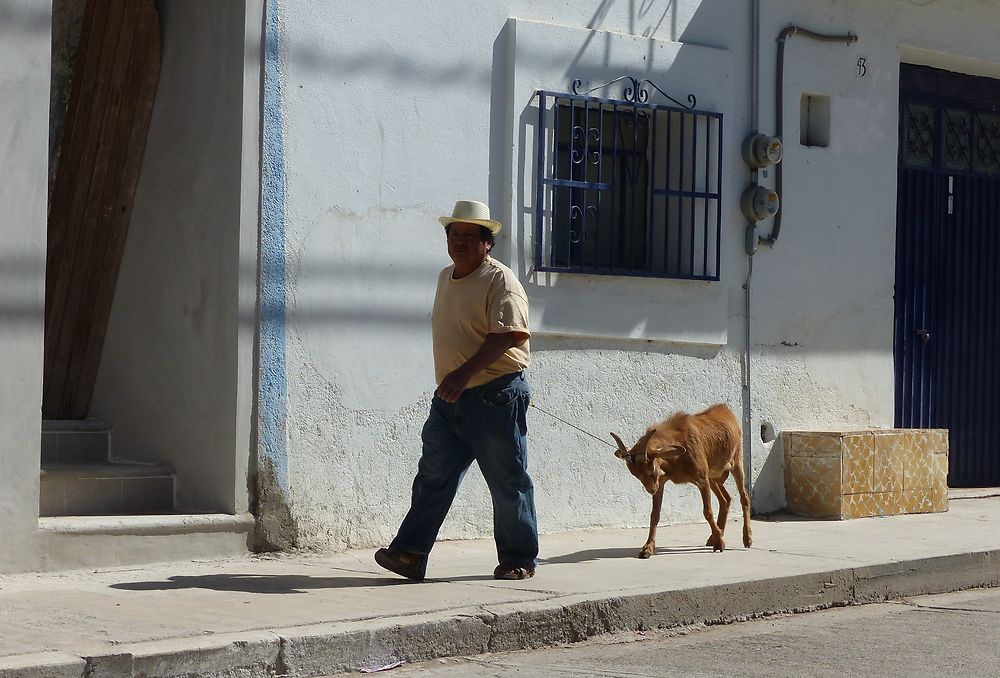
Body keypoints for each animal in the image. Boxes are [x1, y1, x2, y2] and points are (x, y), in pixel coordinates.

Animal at [608, 406, 752, 560]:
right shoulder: (662, 481)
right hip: (713, 476)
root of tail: (725, 409)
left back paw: (746, 538)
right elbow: (655, 514)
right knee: (725, 499)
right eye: (636, 475)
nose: (651, 490)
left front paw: (720, 544)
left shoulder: (702, 479)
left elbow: (707, 511)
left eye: (651, 469)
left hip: (735, 462)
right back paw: (714, 536)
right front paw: (647, 548)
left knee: (744, 497)